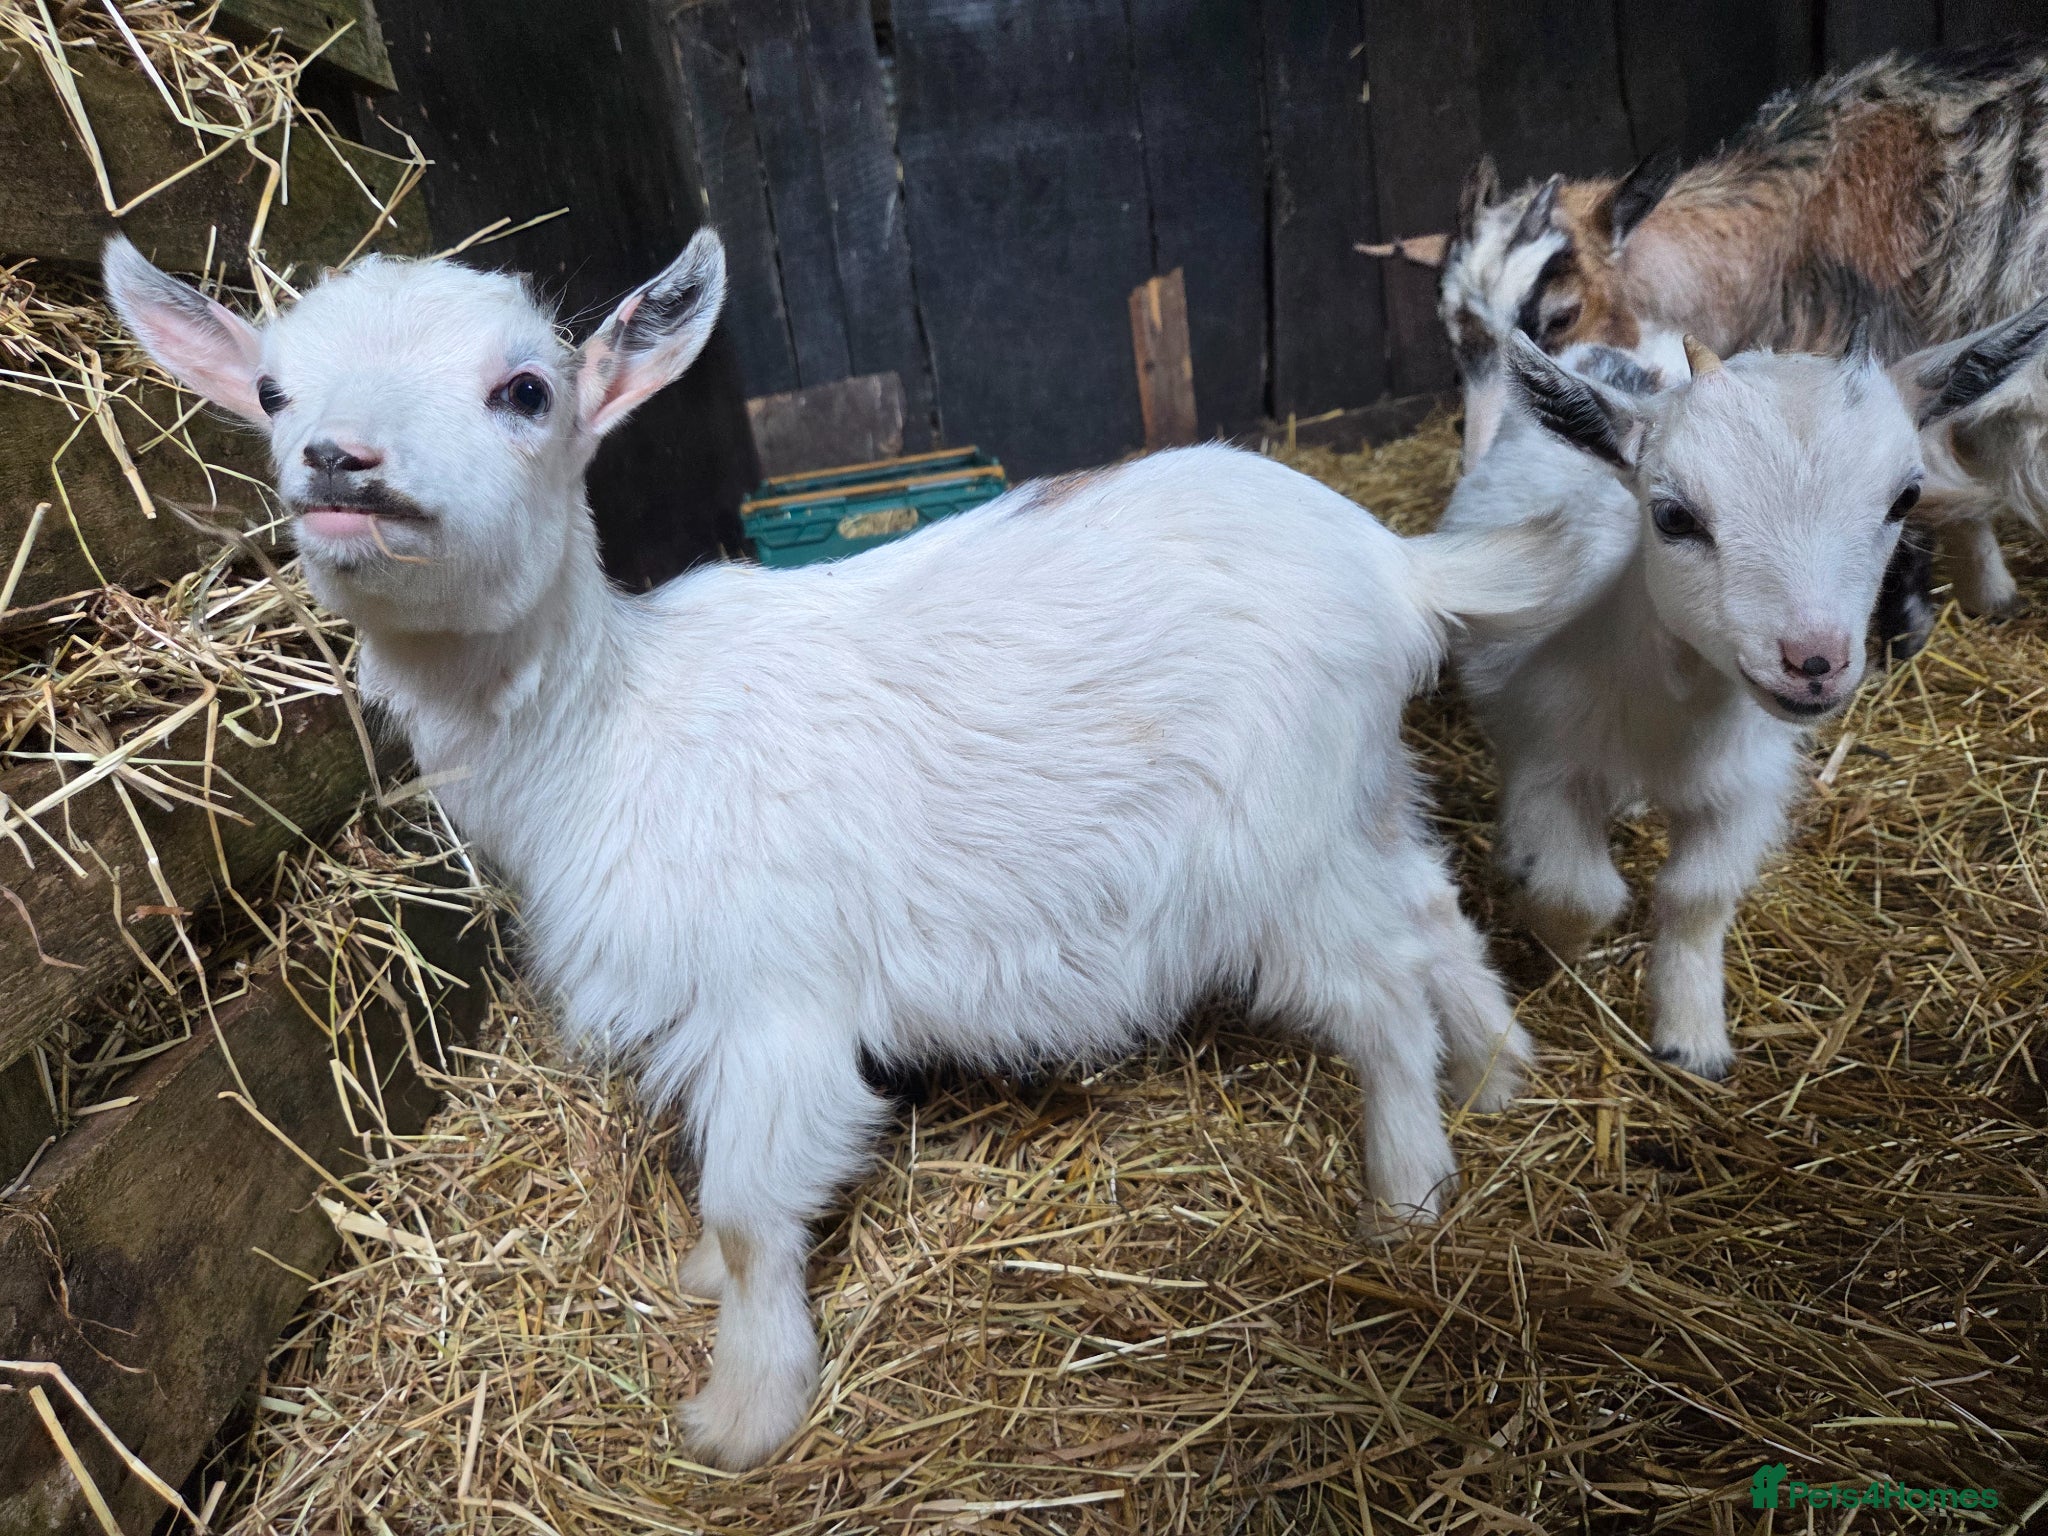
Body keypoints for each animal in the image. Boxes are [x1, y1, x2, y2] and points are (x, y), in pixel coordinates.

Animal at [105, 230, 1570, 1471]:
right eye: (273, 393)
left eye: (524, 390)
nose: (340, 465)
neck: (611, 732)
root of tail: (1397, 565)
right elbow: (724, 1200)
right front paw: (706, 1295)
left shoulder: (774, 1003)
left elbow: (755, 1211)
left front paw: (744, 1412)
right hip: (1358, 797)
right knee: (1432, 913)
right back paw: (1501, 1076)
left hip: (1273, 850)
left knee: (1376, 993)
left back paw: (1406, 1191)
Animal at [1433, 43, 2048, 649]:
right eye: (1450, 327)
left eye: (1563, 315)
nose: (1478, 472)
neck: (1794, 232)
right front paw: (1992, 595)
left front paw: (1909, 632)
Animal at [1445, 309, 2048, 1078]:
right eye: (1673, 516)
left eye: (1905, 498)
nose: (1813, 662)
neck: (1671, 717)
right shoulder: (1548, 759)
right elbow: (1577, 889)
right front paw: (1556, 948)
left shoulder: (1744, 788)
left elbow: (1696, 897)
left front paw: (1692, 1040)